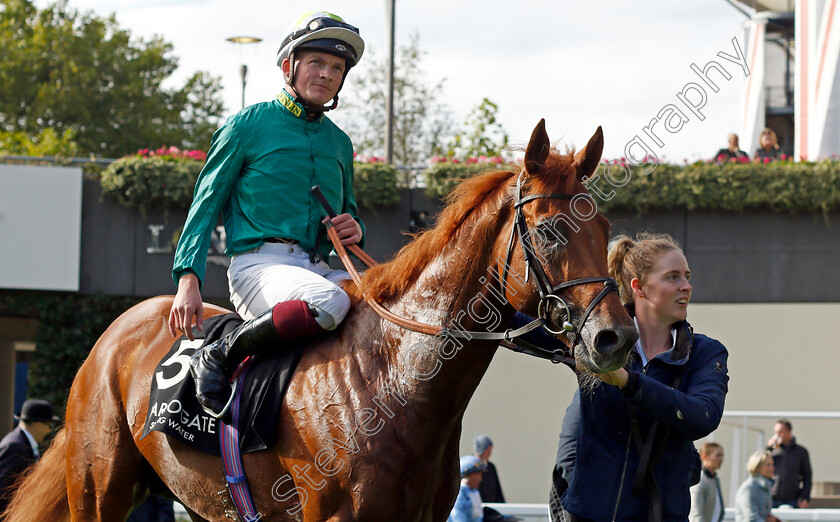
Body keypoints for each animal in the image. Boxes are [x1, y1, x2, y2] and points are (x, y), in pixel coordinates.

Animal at [4, 119, 636, 520]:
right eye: (551, 231)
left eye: (606, 228)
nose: (616, 337)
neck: (394, 382)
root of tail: (116, 332)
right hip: (98, 492)